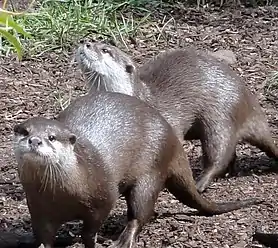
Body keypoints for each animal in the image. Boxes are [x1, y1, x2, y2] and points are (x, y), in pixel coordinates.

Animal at [13, 91, 262, 248]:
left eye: (51, 137)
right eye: (25, 131)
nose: (35, 140)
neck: (63, 195)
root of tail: (173, 141)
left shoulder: (103, 198)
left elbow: (90, 230)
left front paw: (94, 241)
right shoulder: (38, 208)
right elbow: (44, 235)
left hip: (151, 171)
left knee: (141, 210)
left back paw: (124, 239)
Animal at [75, 39, 278, 193]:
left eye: (105, 50)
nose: (85, 42)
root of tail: (249, 101)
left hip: (220, 116)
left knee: (219, 153)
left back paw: (201, 183)